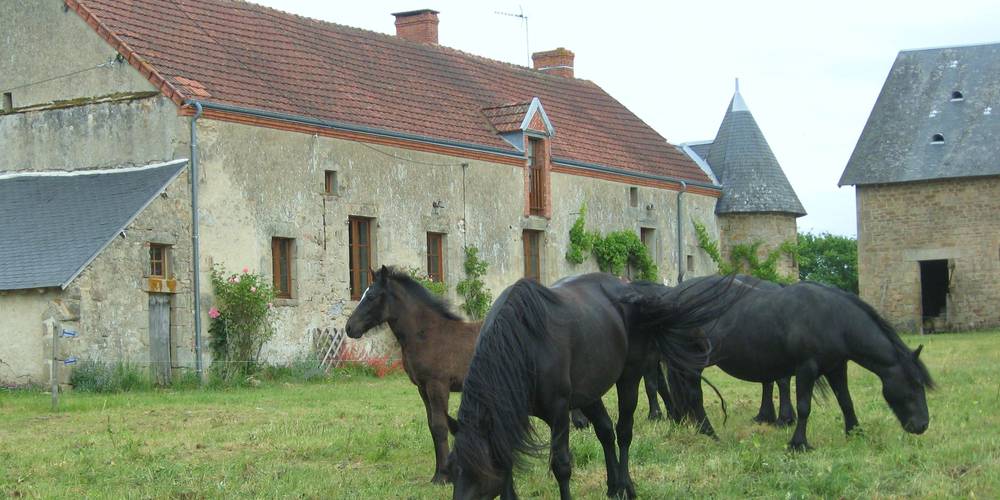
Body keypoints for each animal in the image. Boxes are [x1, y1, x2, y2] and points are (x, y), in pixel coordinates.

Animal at [344, 265, 481, 484]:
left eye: (372, 296)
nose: (349, 327)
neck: (428, 334)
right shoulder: (422, 388)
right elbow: (432, 425)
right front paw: (438, 473)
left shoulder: (438, 386)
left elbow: (440, 426)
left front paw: (443, 477)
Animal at [446, 273, 740, 499]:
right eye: (451, 471)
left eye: (479, 472)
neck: (525, 345)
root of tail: (631, 291)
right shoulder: (511, 415)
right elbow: (507, 471)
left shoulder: (558, 412)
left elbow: (562, 465)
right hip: (588, 393)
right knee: (606, 432)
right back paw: (614, 486)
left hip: (629, 378)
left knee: (623, 432)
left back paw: (626, 486)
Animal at [666, 275, 934, 450]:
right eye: (914, 385)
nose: (922, 425)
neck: (834, 319)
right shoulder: (807, 368)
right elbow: (804, 406)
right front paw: (799, 443)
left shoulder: (837, 367)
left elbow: (846, 401)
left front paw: (855, 433)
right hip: (693, 362)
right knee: (694, 395)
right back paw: (709, 434)